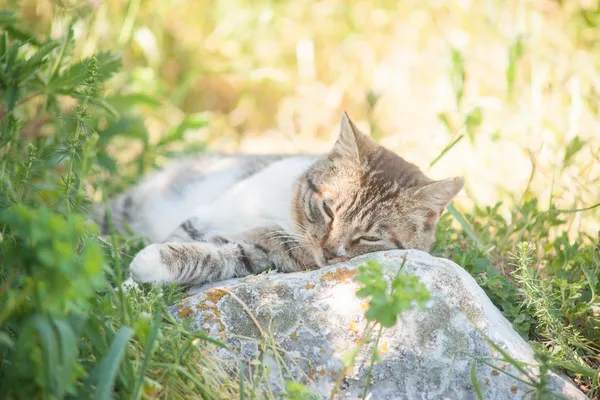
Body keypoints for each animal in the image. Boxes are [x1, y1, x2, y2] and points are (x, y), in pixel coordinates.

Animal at [98, 112, 464, 286]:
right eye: (328, 208)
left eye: (371, 238)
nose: (329, 252)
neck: (286, 214)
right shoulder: (203, 217)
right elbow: (181, 236)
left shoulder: (257, 253)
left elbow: (208, 256)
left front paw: (144, 273)